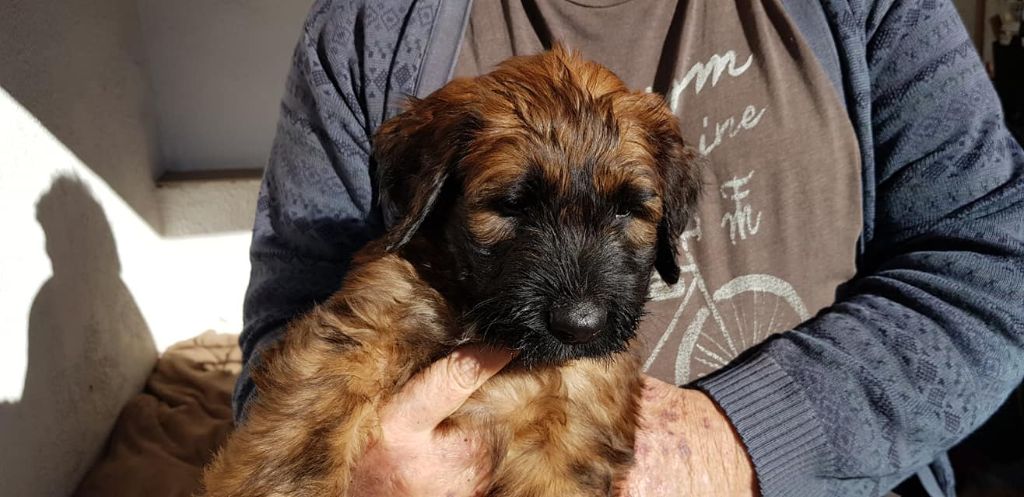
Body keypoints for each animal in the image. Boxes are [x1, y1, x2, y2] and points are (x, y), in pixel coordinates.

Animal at [200, 47, 704, 495]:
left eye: (627, 210)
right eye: (512, 205)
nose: (579, 326)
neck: (489, 327)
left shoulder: (571, 432)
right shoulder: (365, 324)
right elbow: (308, 423)